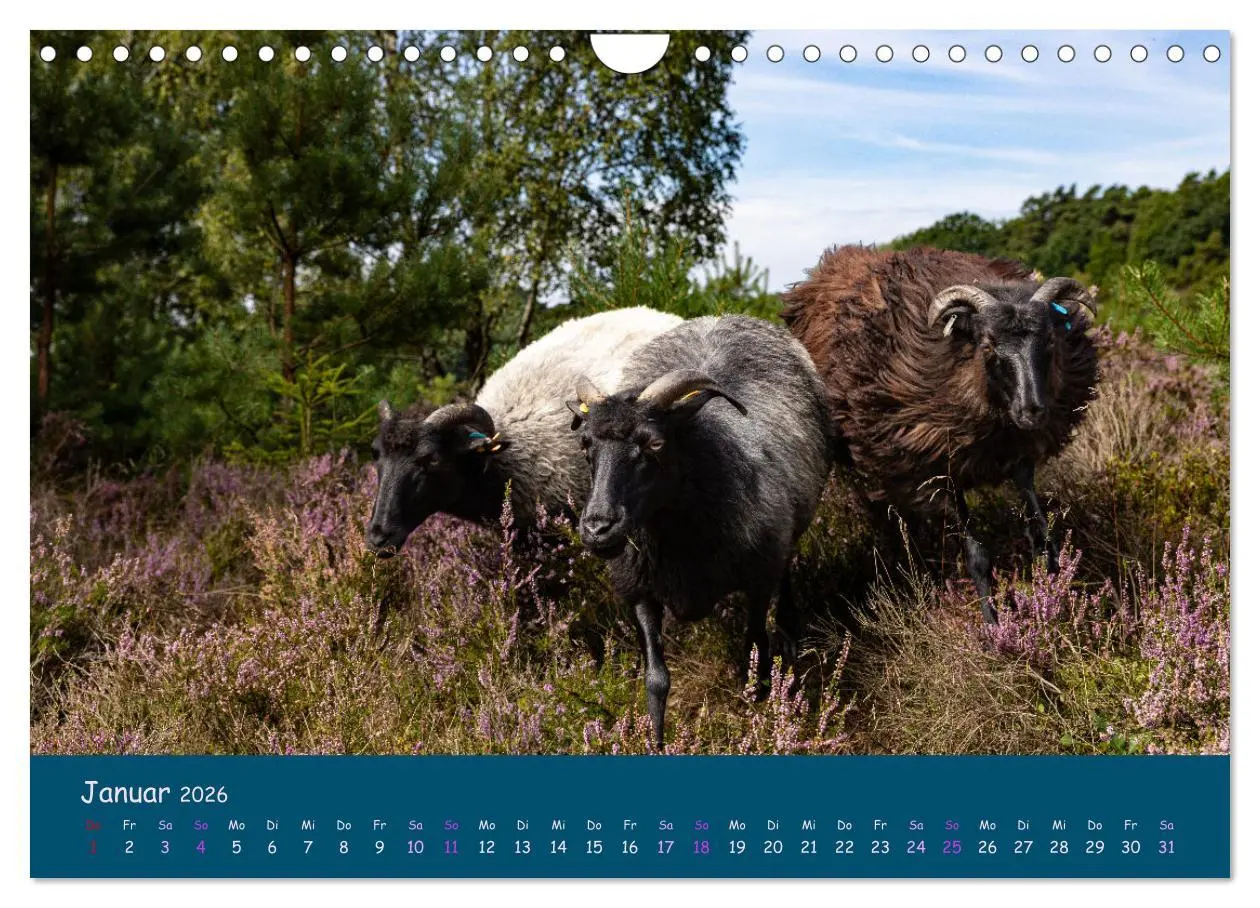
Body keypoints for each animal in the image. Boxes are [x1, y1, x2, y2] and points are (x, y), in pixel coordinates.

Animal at [567, 314, 833, 748]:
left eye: (655, 444)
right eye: (585, 444)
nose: (597, 528)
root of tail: (719, 317)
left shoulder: (758, 578)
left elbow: (756, 649)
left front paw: (758, 719)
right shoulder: (640, 590)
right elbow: (656, 679)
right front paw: (656, 743)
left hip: (787, 532)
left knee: (786, 574)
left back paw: (791, 630)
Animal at [780, 245, 1100, 623]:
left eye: (1050, 340)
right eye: (988, 345)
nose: (1032, 410)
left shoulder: (1019, 457)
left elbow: (1042, 538)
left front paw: (1055, 603)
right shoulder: (944, 466)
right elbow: (977, 556)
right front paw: (992, 625)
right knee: (880, 513)